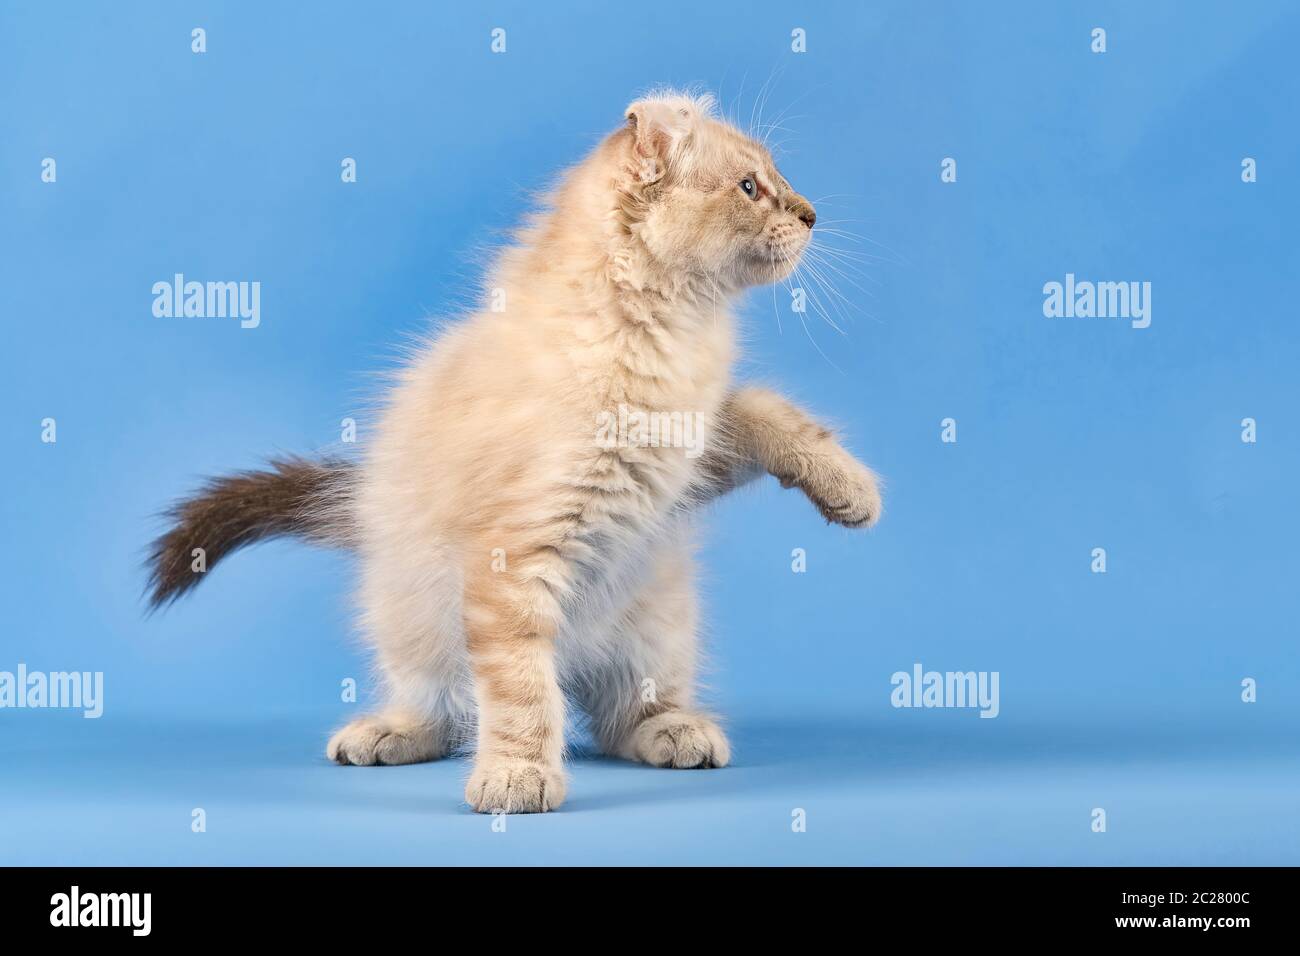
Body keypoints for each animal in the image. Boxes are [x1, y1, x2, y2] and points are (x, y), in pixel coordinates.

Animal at [149, 89, 883, 811]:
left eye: (776, 180)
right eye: (751, 187)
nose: (812, 214)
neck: (662, 334)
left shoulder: (687, 459)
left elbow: (768, 409)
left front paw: (849, 489)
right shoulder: (516, 557)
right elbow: (523, 688)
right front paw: (517, 777)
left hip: (659, 623)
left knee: (624, 713)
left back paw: (675, 730)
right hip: (412, 614)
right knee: (447, 705)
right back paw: (388, 732)